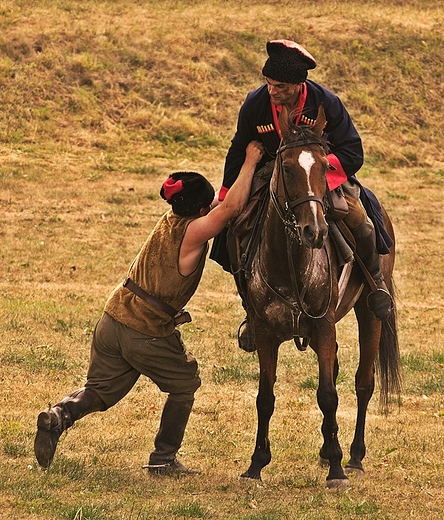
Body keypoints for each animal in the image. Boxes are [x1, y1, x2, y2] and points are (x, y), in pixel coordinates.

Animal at [236, 104, 402, 488]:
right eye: (286, 167)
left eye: (326, 167)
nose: (315, 230)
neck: (289, 264)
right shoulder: (266, 334)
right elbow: (265, 397)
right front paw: (256, 464)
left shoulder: (325, 327)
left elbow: (328, 394)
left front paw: (338, 470)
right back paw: (329, 449)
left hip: (368, 314)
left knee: (363, 383)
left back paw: (352, 456)